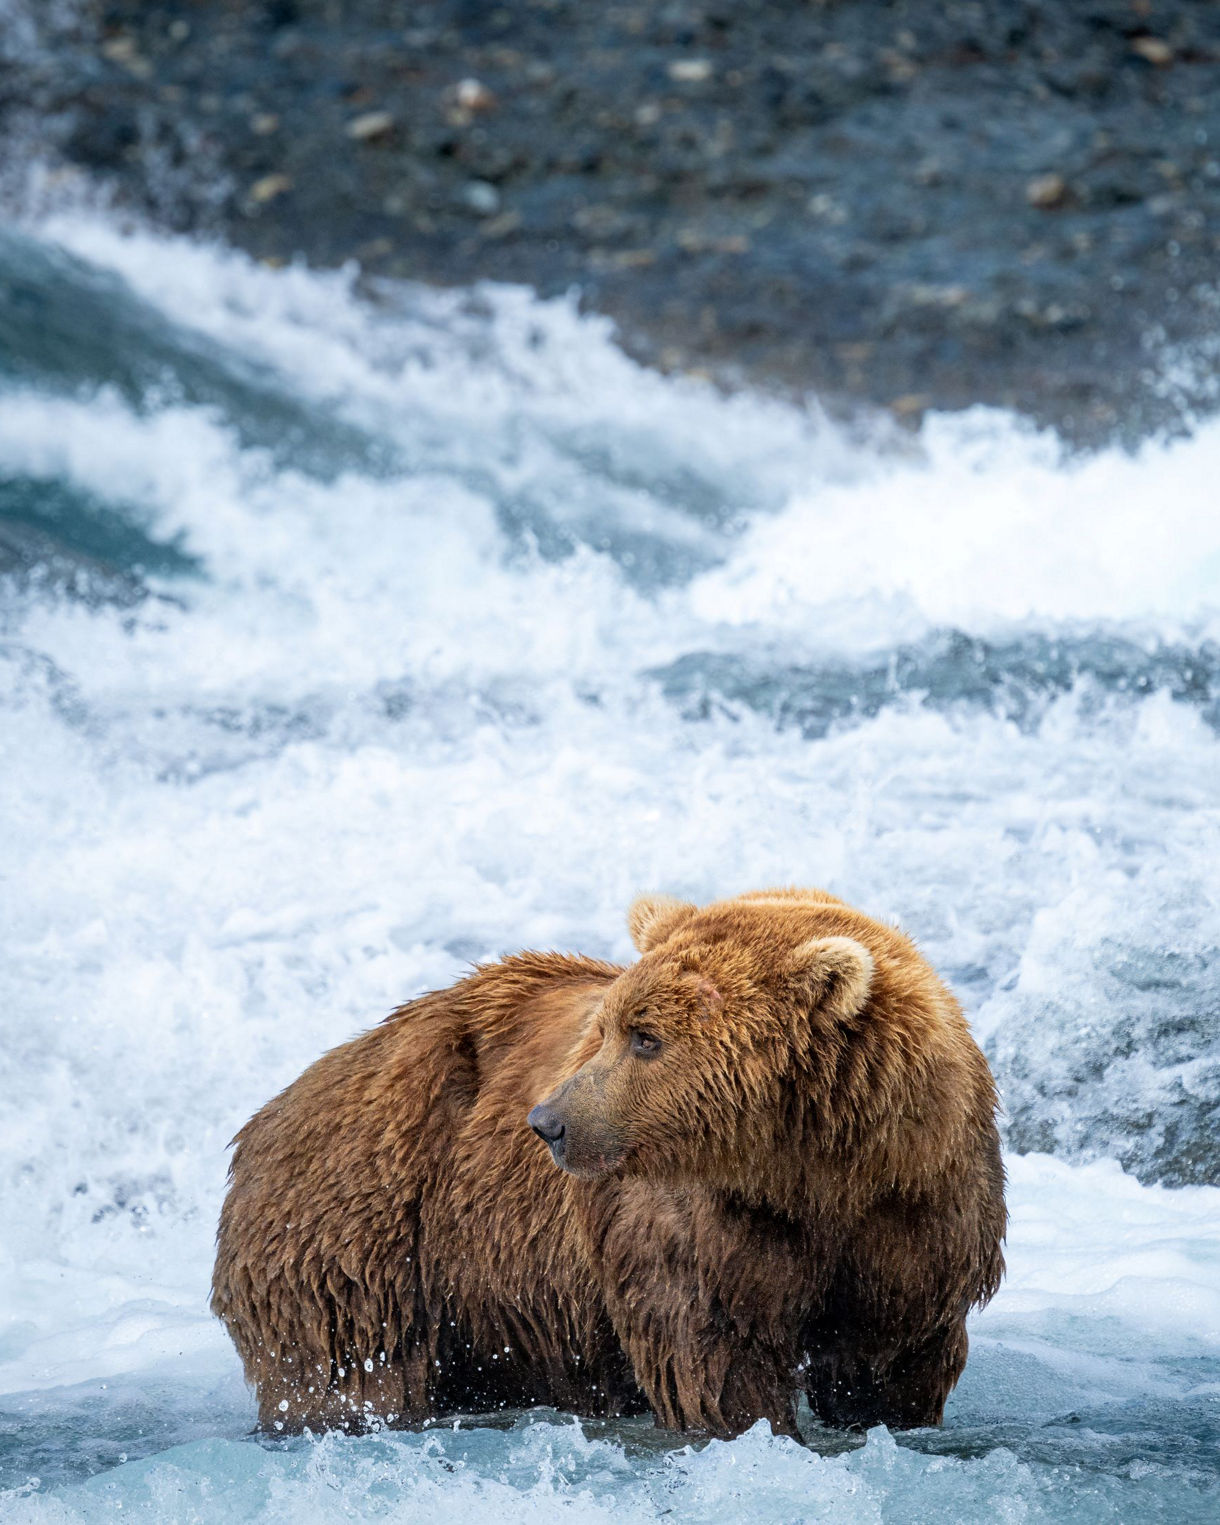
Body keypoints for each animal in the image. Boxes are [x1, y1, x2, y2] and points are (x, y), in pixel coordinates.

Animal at [211, 887, 1005, 1438]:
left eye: (645, 1037)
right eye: (606, 1027)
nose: (546, 1121)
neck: (810, 1170)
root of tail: (265, 1118)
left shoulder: (919, 1211)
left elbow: (891, 1355)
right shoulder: (694, 1226)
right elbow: (715, 1353)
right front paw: (756, 1429)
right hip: (365, 1233)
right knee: (348, 1368)